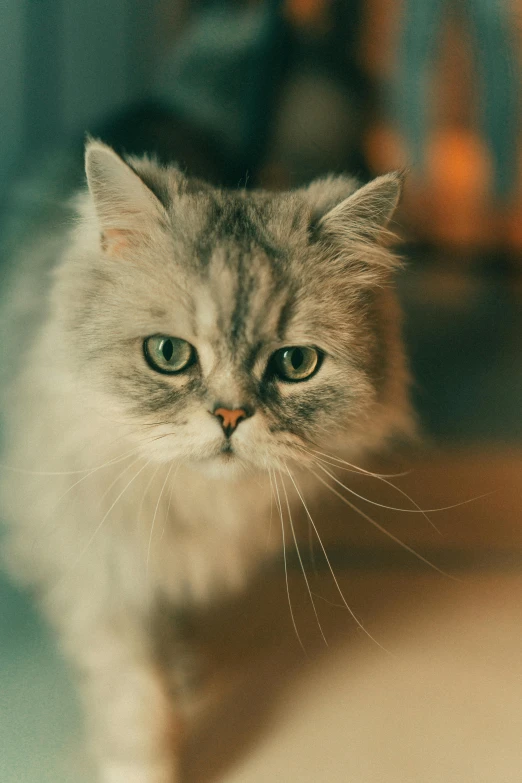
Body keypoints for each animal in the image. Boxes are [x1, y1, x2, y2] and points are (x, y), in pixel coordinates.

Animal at [0, 142, 412, 783]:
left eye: (295, 363)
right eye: (168, 354)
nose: (230, 416)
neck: (189, 501)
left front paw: (178, 684)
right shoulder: (94, 571)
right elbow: (132, 695)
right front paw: (142, 764)